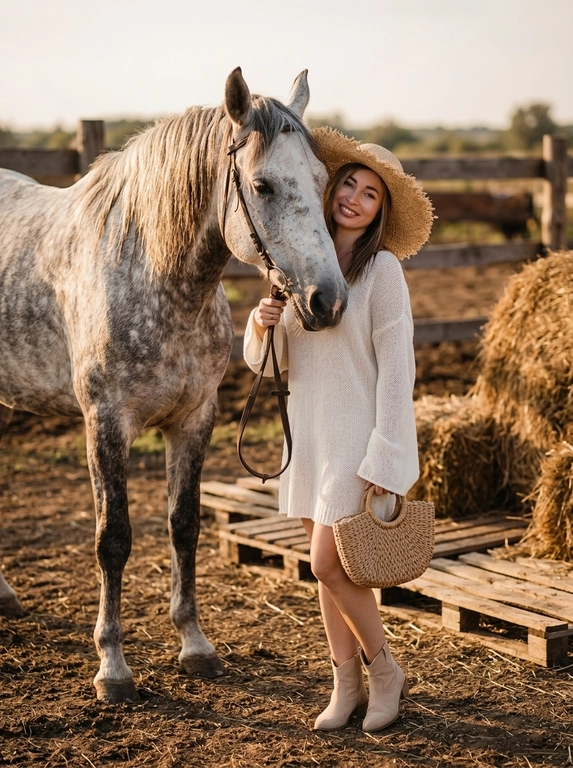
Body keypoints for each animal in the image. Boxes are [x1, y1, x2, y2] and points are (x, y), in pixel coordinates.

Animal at [0, 67, 348, 702]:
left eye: (320, 179)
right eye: (261, 185)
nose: (327, 301)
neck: (155, 276)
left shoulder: (194, 419)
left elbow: (183, 525)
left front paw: (195, 644)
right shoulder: (106, 424)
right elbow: (113, 539)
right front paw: (112, 667)